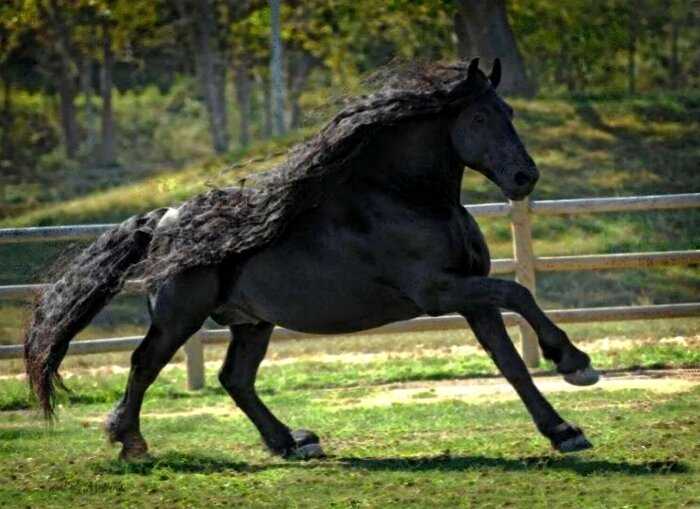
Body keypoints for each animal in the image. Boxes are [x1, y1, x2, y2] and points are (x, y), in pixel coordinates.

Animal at [24, 59, 600, 460]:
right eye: (480, 116)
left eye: (510, 114)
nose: (525, 177)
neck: (406, 198)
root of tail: (163, 219)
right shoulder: (439, 291)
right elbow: (519, 292)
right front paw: (575, 362)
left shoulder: (469, 293)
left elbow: (509, 360)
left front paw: (563, 430)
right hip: (179, 317)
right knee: (144, 364)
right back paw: (130, 442)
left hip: (251, 323)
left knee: (235, 379)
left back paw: (292, 442)